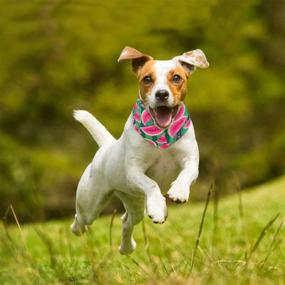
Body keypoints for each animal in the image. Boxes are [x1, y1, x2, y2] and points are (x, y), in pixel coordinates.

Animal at [71, 46, 209, 253]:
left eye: (176, 77)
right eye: (147, 79)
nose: (161, 94)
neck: (162, 135)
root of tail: (106, 146)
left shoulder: (190, 160)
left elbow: (186, 173)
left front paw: (178, 191)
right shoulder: (134, 172)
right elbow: (151, 184)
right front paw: (158, 207)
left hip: (134, 201)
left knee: (126, 221)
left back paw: (127, 247)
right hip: (90, 203)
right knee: (80, 219)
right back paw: (79, 229)